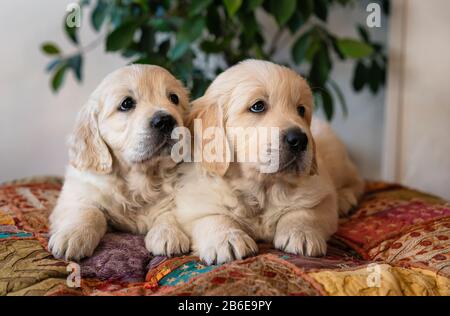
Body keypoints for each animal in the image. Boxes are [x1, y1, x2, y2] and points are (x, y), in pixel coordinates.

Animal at [49, 63, 190, 260]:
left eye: (174, 98)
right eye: (126, 104)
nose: (166, 121)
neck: (140, 178)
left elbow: (170, 210)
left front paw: (169, 233)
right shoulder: (77, 193)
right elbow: (88, 210)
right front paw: (73, 235)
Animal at [174, 59, 364, 264]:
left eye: (301, 110)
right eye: (258, 106)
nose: (299, 140)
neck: (262, 188)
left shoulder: (322, 193)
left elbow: (305, 211)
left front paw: (301, 233)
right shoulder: (193, 203)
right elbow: (212, 217)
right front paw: (227, 239)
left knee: (357, 181)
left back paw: (345, 199)